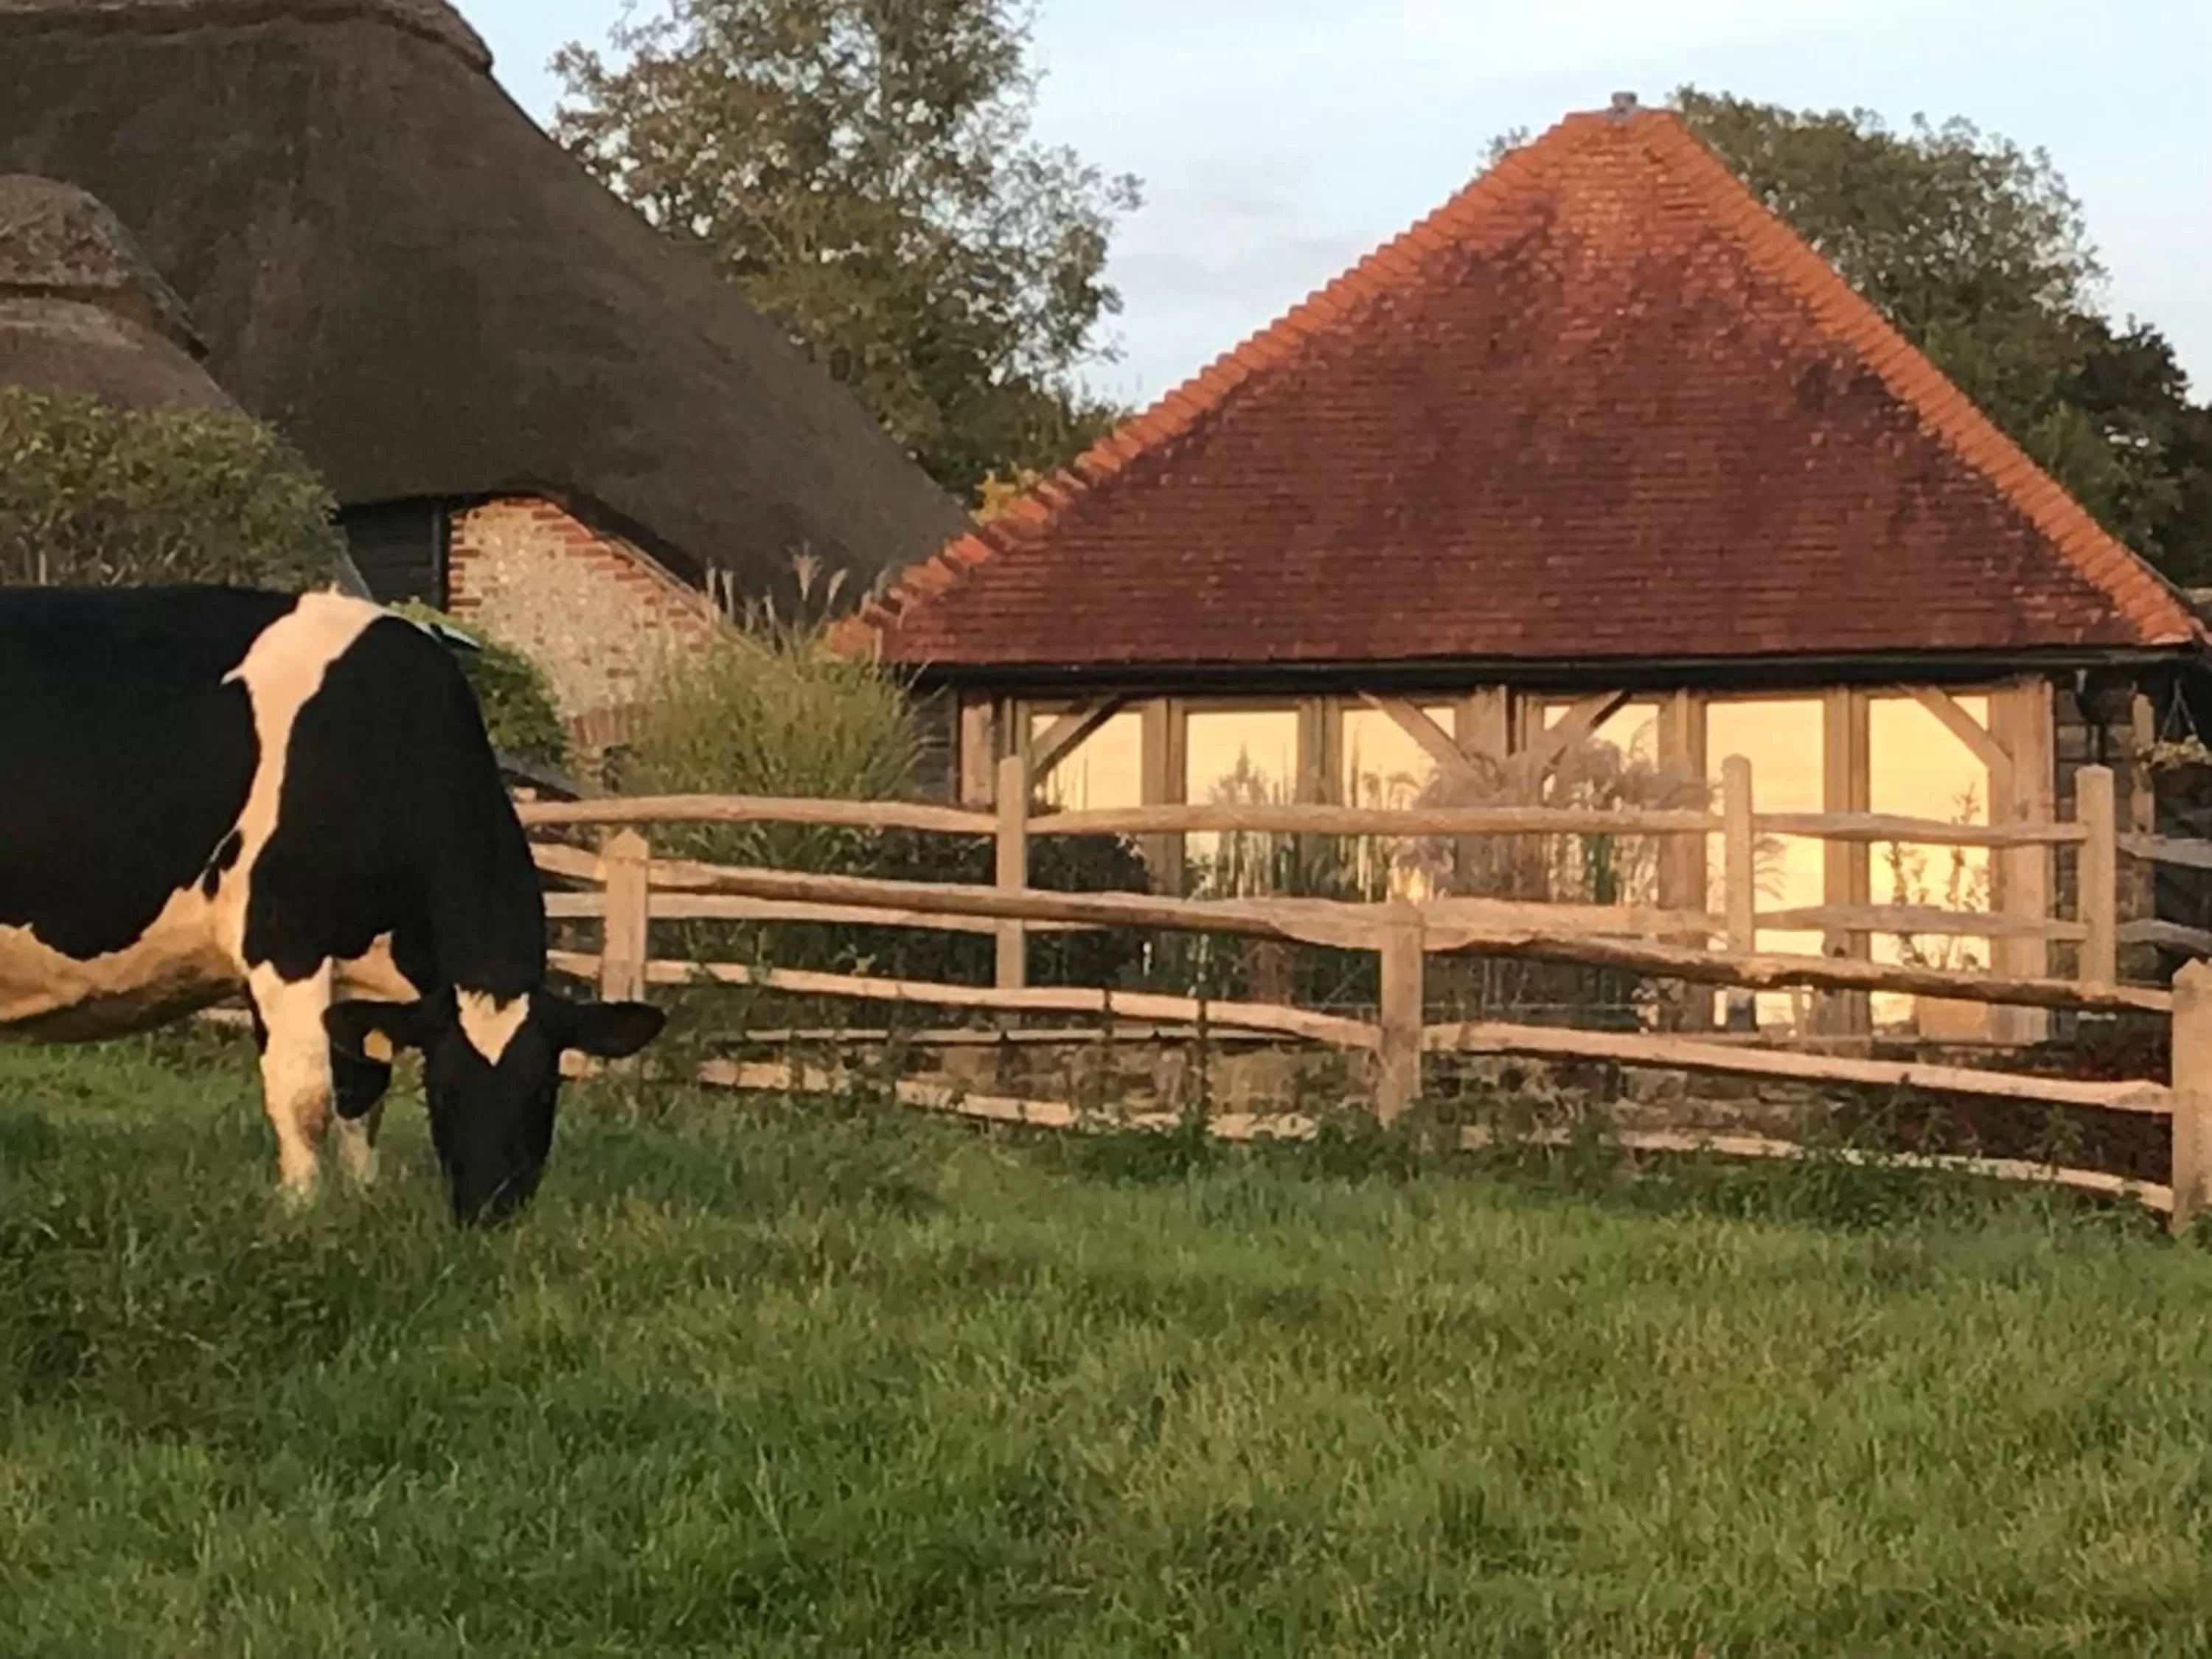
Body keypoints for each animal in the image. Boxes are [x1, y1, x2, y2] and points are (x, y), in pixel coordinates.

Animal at [0, 584, 665, 1224]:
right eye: (442, 1090)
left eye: (544, 1092)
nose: (490, 1210)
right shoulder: (285, 939)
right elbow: (306, 1097)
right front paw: (300, 1212)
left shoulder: (362, 979)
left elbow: (361, 1097)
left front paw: (363, 1203)